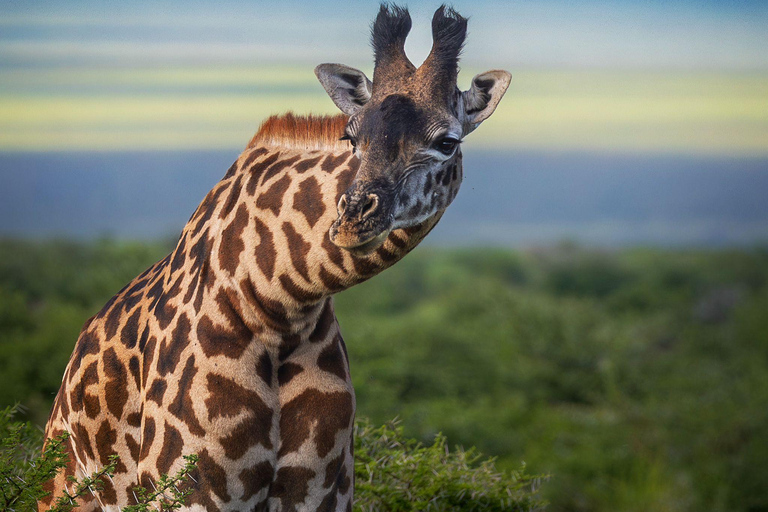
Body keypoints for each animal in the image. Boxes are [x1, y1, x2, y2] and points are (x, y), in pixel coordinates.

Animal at [40, 5, 510, 512]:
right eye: (351, 136)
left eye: (447, 141)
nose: (353, 219)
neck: (277, 302)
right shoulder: (185, 489)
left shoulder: (323, 492)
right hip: (63, 487)